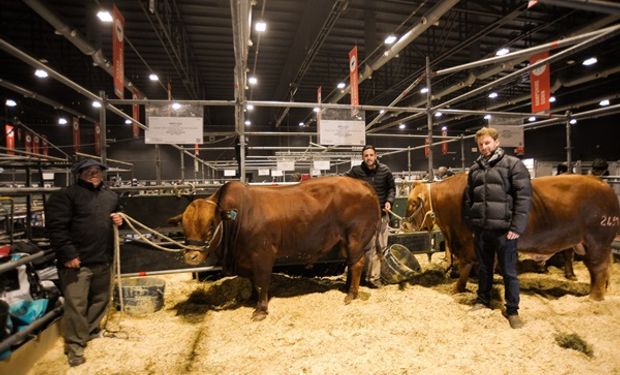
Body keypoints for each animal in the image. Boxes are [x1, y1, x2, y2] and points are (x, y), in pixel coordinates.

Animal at [172, 176, 380, 320]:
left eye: (211, 225)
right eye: (183, 228)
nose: (191, 257)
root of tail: (361, 184)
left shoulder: (262, 254)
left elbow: (262, 281)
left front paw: (260, 310)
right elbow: (253, 280)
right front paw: (251, 299)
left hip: (355, 237)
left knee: (357, 263)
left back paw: (351, 294)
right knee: (351, 263)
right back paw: (346, 288)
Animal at [406, 175, 620, 302]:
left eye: (411, 203)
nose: (405, 225)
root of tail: (602, 184)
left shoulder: (467, 243)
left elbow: (466, 266)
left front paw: (458, 288)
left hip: (597, 241)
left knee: (599, 269)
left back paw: (593, 298)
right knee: (597, 270)